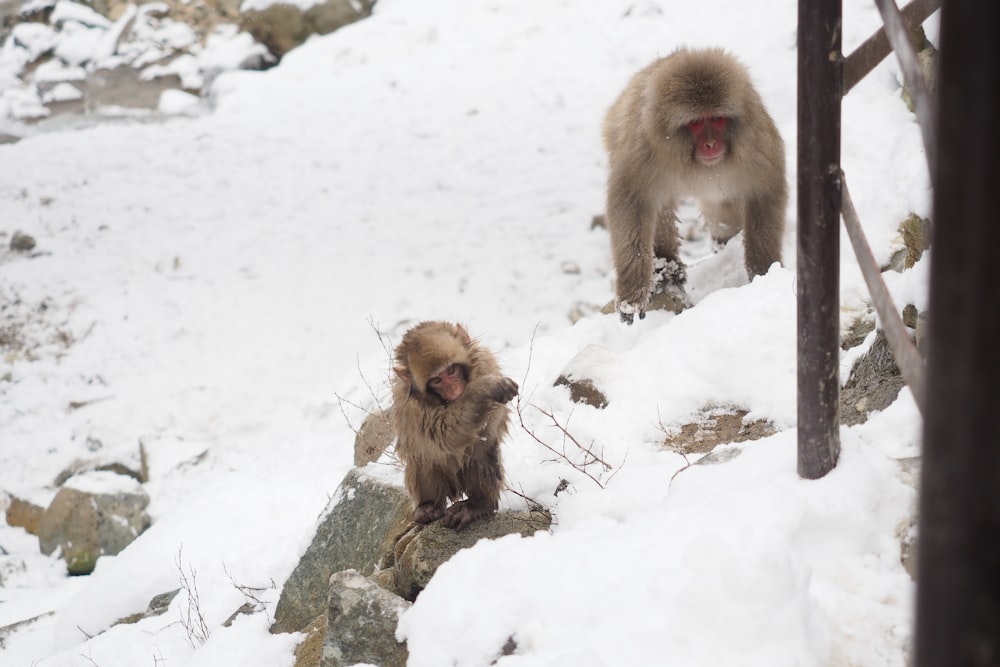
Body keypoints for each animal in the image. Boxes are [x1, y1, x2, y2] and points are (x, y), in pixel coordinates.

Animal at [600, 47, 788, 324]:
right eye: (697, 123)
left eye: (718, 119)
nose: (711, 144)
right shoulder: (643, 147)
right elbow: (631, 203)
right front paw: (632, 295)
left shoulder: (757, 141)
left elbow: (764, 192)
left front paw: (763, 272)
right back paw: (665, 266)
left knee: (722, 213)